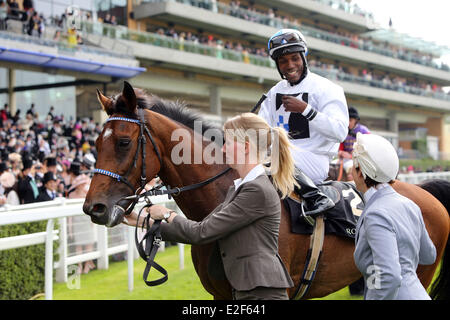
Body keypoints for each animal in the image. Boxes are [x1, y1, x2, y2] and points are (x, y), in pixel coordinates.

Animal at [82, 82, 448, 300]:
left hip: (421, 272)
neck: (222, 197)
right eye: (95, 143)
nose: (93, 208)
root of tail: (426, 193)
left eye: (124, 142)